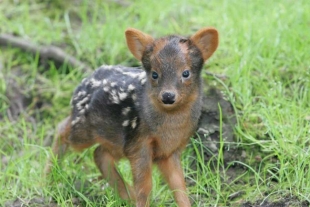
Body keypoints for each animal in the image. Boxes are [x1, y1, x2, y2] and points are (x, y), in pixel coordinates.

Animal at [45, 27, 218, 207]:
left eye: (186, 73)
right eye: (154, 74)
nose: (168, 96)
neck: (169, 129)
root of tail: (82, 83)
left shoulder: (171, 150)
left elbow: (179, 185)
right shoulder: (139, 143)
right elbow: (145, 186)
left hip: (115, 141)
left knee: (99, 154)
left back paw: (127, 196)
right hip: (84, 130)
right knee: (62, 129)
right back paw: (47, 180)